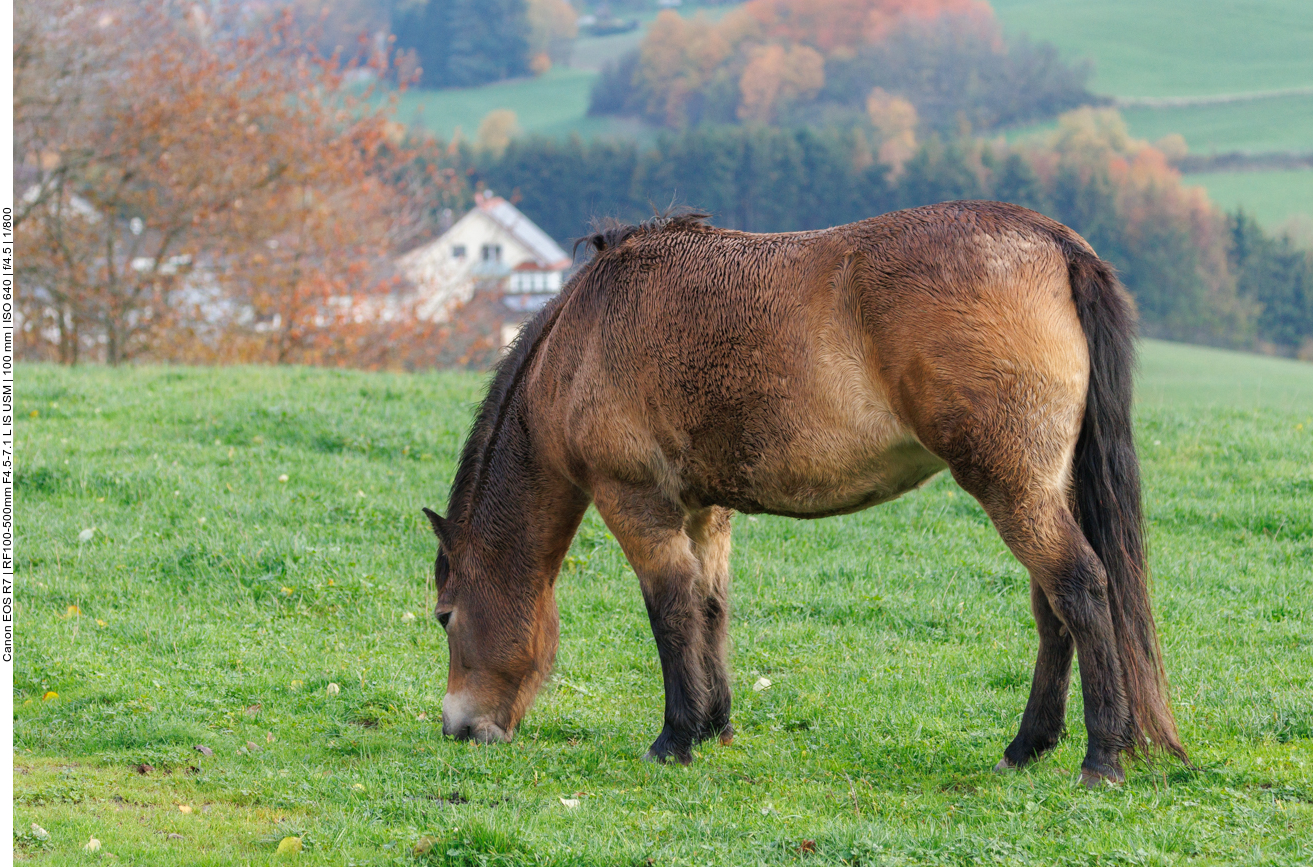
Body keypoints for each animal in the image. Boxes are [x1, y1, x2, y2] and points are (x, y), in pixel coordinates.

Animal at [422, 200, 1192, 788]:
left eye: (444, 616)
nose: (458, 726)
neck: (585, 336)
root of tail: (1053, 242)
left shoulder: (636, 502)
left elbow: (669, 610)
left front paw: (674, 737)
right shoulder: (705, 509)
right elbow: (709, 606)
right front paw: (715, 723)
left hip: (1012, 487)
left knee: (1080, 588)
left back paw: (1100, 756)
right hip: (1039, 486)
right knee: (1052, 608)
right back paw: (1027, 746)